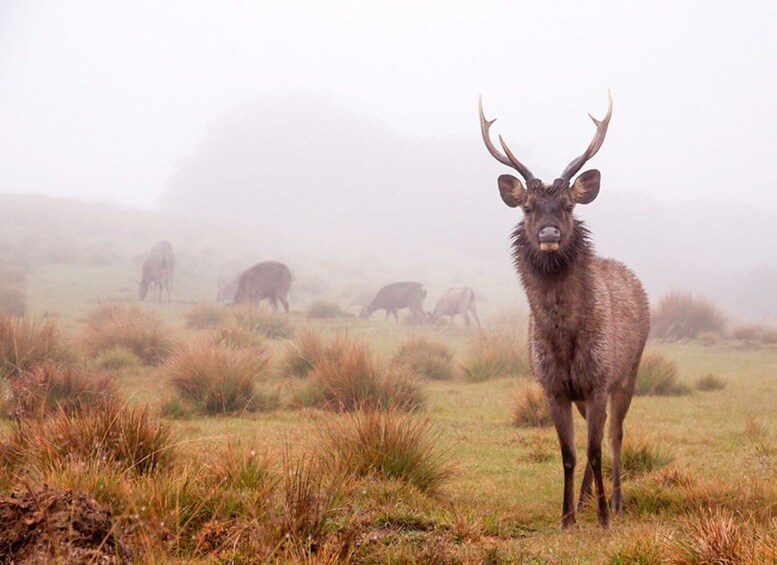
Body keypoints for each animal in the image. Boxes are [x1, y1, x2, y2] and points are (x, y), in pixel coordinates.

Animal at [478, 93, 648, 528]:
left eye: (569, 205)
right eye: (527, 207)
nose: (550, 233)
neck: (564, 342)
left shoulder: (599, 379)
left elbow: (594, 449)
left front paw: (603, 519)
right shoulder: (553, 386)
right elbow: (569, 454)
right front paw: (567, 516)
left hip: (630, 372)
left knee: (615, 436)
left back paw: (616, 503)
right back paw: (586, 499)